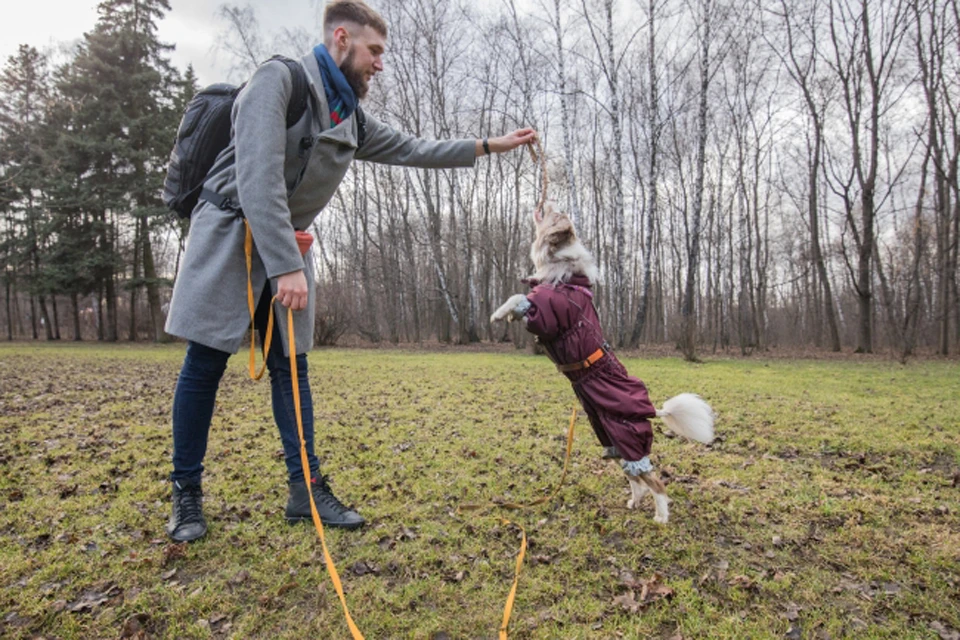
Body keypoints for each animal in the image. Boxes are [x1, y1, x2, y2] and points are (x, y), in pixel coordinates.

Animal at [496, 201, 712, 524]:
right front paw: (507, 315)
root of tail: (652, 409)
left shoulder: (548, 316)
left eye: (554, 216)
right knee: (637, 479)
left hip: (626, 437)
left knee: (656, 483)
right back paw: (634, 503)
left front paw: (499, 313)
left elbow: (519, 297)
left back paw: (661, 517)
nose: (548, 203)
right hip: (609, 437)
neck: (563, 270)